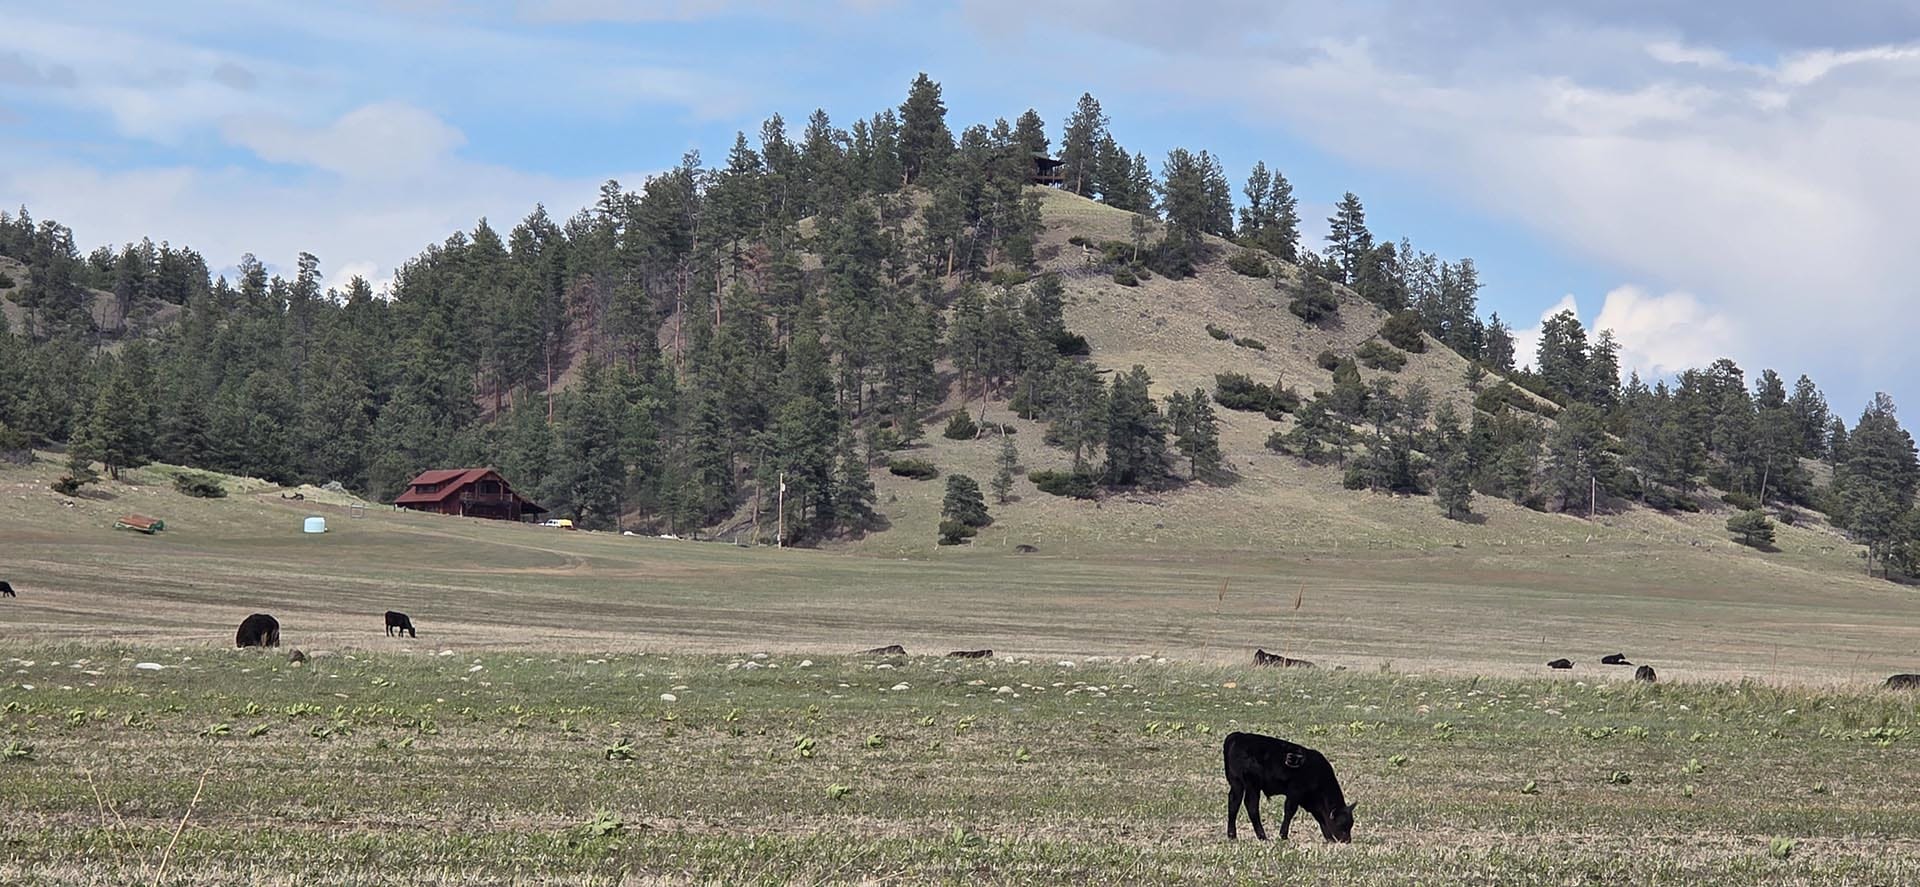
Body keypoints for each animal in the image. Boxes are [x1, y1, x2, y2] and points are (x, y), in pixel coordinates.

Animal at [1223, 732, 1356, 843]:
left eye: (1351, 824)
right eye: (1342, 825)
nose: (1347, 840)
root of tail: (1238, 736)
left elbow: (1320, 818)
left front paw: (1329, 838)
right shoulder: (1294, 793)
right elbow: (1289, 812)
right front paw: (1283, 835)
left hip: (1237, 783)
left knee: (1234, 803)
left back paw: (1232, 835)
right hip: (1252, 785)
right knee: (1251, 805)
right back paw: (1262, 836)